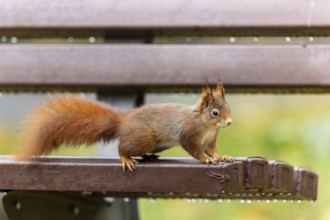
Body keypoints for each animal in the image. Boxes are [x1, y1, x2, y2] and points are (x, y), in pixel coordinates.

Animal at [14, 81, 232, 171]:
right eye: (215, 112)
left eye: (228, 108)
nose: (229, 122)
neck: (206, 124)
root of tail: (123, 121)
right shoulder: (189, 132)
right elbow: (195, 149)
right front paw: (206, 159)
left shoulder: (210, 139)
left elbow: (212, 149)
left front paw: (222, 156)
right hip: (145, 137)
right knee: (122, 148)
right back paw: (126, 158)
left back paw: (148, 157)